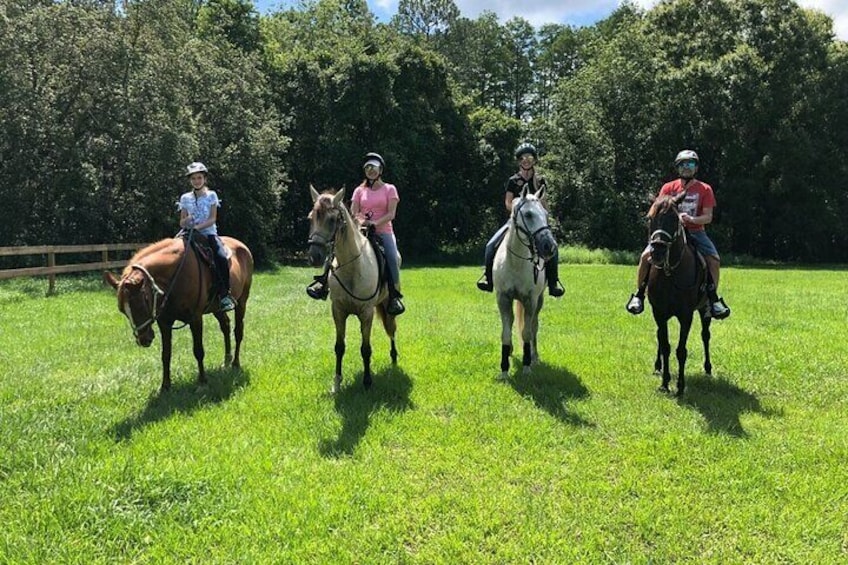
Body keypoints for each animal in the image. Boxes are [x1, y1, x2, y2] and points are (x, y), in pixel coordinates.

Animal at [103, 231, 252, 390]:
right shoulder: (165, 322)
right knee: (225, 325)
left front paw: (202, 382)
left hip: (242, 302)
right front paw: (165, 386)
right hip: (216, 308)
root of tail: (242, 246)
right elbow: (166, 354)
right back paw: (227, 360)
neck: (175, 277)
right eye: (122, 311)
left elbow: (198, 350)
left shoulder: (195, 318)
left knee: (238, 331)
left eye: (140, 305)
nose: (143, 340)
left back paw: (235, 363)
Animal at [308, 185, 398, 392]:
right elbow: (339, 347)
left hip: (387, 304)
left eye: (332, 220)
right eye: (311, 218)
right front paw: (337, 382)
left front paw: (367, 382)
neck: (352, 268)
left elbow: (366, 349)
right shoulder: (338, 311)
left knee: (391, 329)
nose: (315, 256)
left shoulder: (366, 313)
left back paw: (394, 357)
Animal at [494, 185, 560, 378]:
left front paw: (527, 366)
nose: (549, 246)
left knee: (534, 326)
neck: (516, 263)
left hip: (539, 300)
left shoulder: (530, 300)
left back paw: (534, 356)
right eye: (529, 214)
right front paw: (504, 370)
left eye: (545, 214)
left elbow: (527, 332)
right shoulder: (503, 298)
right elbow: (506, 332)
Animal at [644, 192, 712, 394]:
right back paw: (657, 366)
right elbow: (665, 345)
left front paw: (680, 386)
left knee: (706, 335)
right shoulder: (659, 312)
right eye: (649, 218)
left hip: (705, 309)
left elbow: (681, 350)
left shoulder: (686, 315)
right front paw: (665, 383)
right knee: (660, 338)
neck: (670, 273)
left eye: (674, 219)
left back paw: (708, 368)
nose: (657, 250)